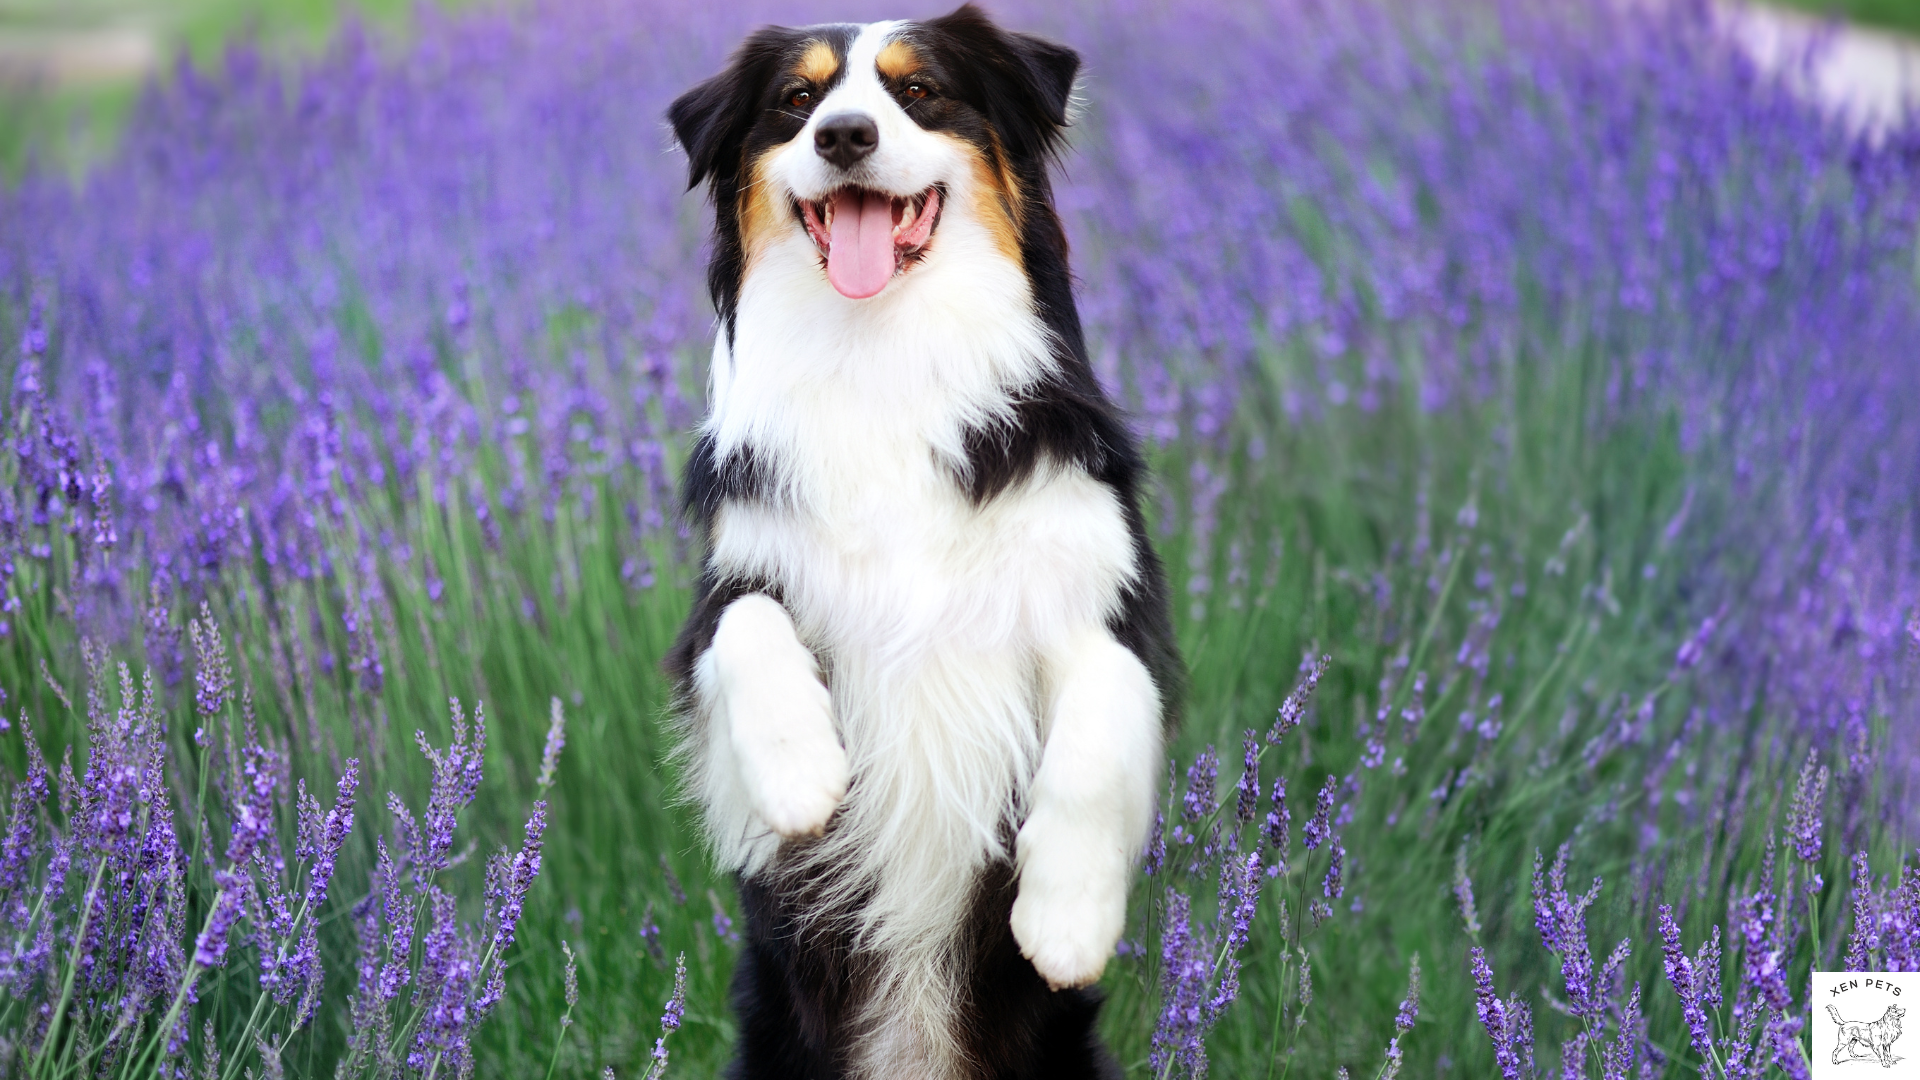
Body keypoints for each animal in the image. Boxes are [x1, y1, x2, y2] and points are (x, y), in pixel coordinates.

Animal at [660, 8, 1175, 1076]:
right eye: (798, 99)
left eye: (920, 91)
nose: (844, 136)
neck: (885, 353)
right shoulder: (723, 593)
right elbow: (748, 625)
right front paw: (802, 776)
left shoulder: (1110, 592)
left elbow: (1106, 704)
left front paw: (1066, 918)